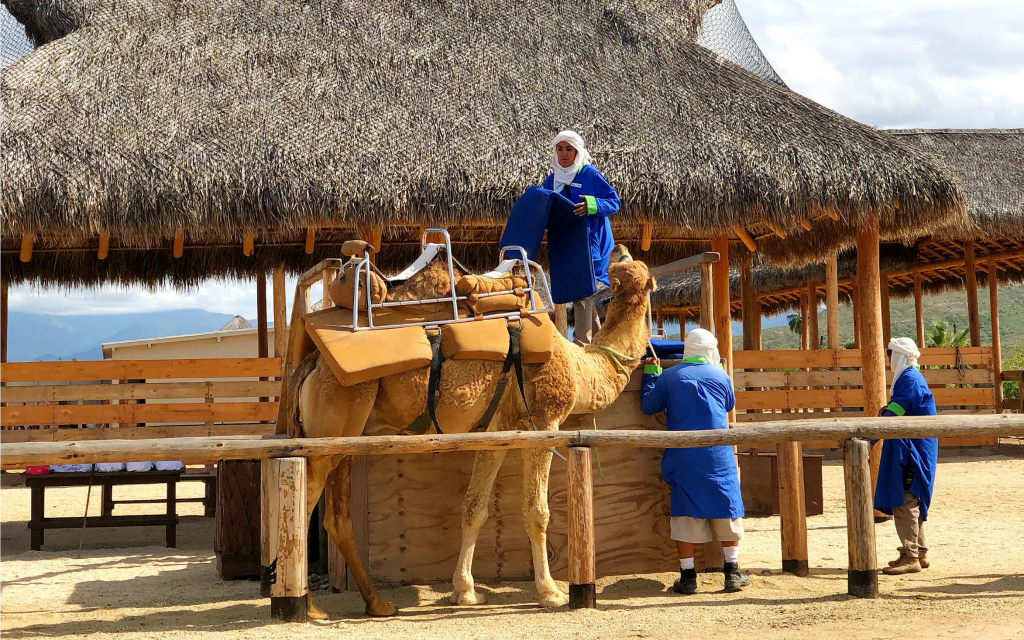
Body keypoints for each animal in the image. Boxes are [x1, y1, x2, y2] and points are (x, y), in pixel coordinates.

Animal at [294, 255, 655, 619]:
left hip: (348, 438)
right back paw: (308, 606)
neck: (581, 369)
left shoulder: (497, 431)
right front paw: (550, 592)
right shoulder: (544, 421)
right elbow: (536, 511)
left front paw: (465, 591)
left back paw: (377, 602)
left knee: (336, 517)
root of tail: (312, 363)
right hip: (332, 424)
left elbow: (474, 507)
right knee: (306, 499)